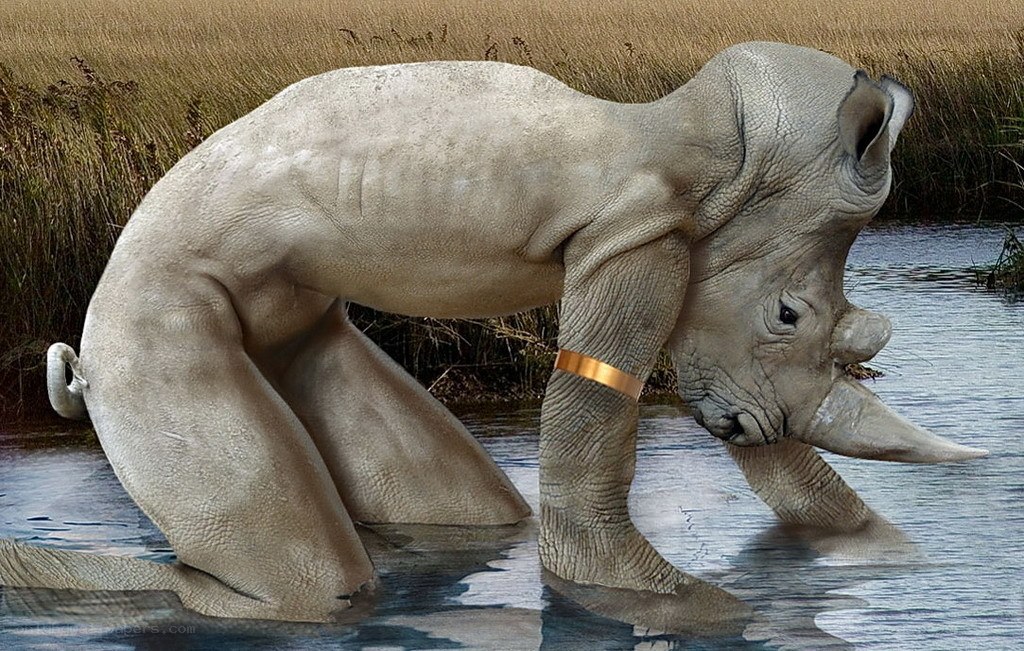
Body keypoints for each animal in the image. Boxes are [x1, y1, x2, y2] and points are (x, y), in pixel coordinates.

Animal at [0, 41, 986, 625]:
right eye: (789, 315)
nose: (751, 424)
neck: (728, 155)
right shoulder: (645, 235)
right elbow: (596, 421)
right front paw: (686, 604)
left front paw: (884, 551)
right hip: (149, 304)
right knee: (309, 578)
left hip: (279, 308)